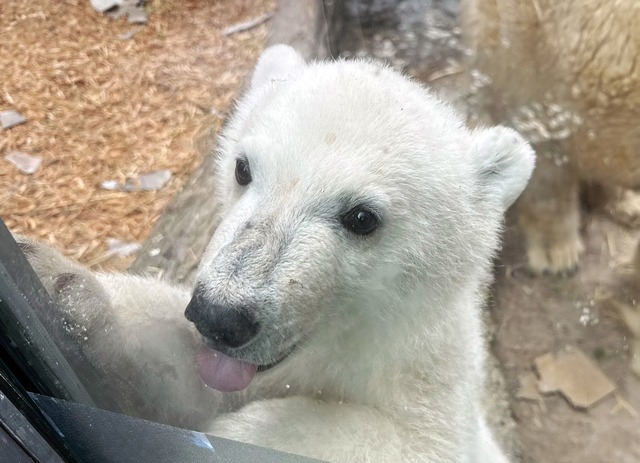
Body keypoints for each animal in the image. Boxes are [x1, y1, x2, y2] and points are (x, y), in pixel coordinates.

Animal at [16, 44, 536, 463]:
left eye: (362, 217)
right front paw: (59, 283)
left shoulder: (427, 380)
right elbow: (180, 371)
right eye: (243, 167)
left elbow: (399, 440)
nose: (221, 316)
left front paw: (226, 436)